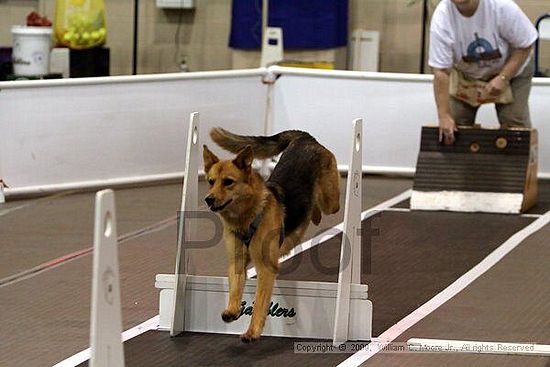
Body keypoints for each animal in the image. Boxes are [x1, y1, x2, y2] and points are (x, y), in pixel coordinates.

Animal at [203, 128, 340, 344]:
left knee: (324, 204)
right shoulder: (237, 262)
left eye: (228, 182)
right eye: (211, 182)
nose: (208, 200)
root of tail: (305, 137)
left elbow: (260, 303)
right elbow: (235, 290)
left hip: (331, 201)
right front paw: (232, 310)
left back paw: (315, 211)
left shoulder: (266, 268)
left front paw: (252, 332)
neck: (248, 218)